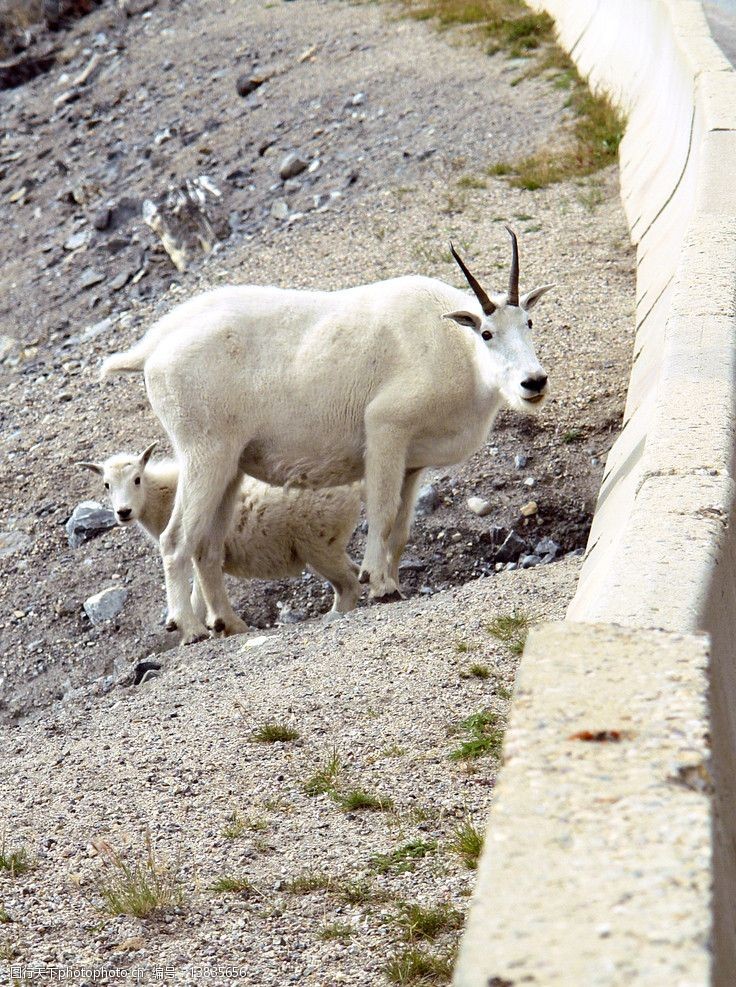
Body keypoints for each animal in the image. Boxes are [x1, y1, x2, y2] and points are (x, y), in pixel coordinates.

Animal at [102, 230, 552, 648]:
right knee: (175, 539)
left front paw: (392, 583)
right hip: (204, 454)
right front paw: (378, 584)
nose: (534, 383)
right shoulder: (385, 429)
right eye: (487, 333)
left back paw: (229, 625)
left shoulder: (412, 462)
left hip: (229, 468)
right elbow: (383, 511)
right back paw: (191, 628)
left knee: (207, 546)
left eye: (528, 323)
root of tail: (154, 348)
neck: (454, 345)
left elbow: (402, 528)